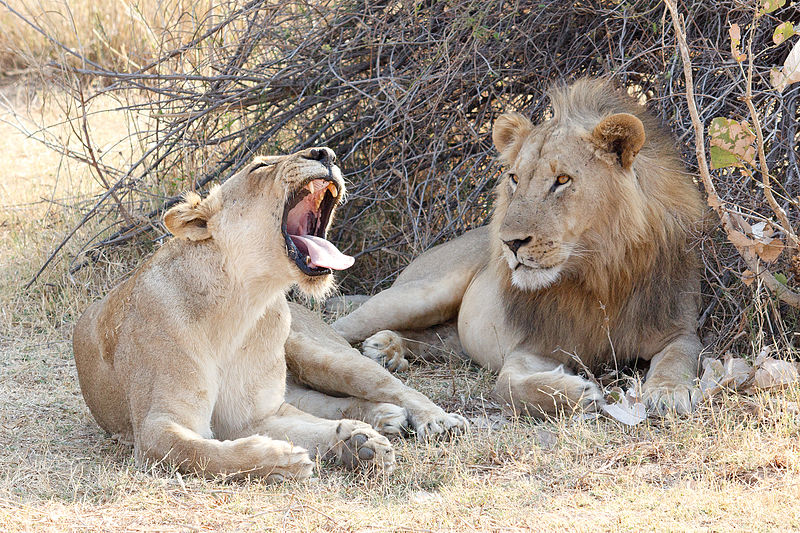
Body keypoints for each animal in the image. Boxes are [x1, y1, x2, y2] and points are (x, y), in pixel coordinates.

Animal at [73, 147, 465, 482]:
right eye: (259, 167)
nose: (326, 153)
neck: (242, 304)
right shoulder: (158, 426)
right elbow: (200, 453)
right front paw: (287, 459)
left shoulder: (257, 415)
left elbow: (301, 429)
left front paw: (355, 445)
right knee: (327, 403)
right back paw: (382, 419)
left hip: (322, 353)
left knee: (393, 386)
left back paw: (434, 420)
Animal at [329, 79, 705, 417]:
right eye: (514, 178)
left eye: (562, 180)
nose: (509, 243)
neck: (598, 275)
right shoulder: (531, 349)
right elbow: (509, 385)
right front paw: (578, 393)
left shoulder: (679, 328)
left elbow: (678, 358)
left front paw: (667, 394)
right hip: (418, 294)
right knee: (340, 328)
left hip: (453, 339)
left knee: (430, 338)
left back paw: (387, 347)